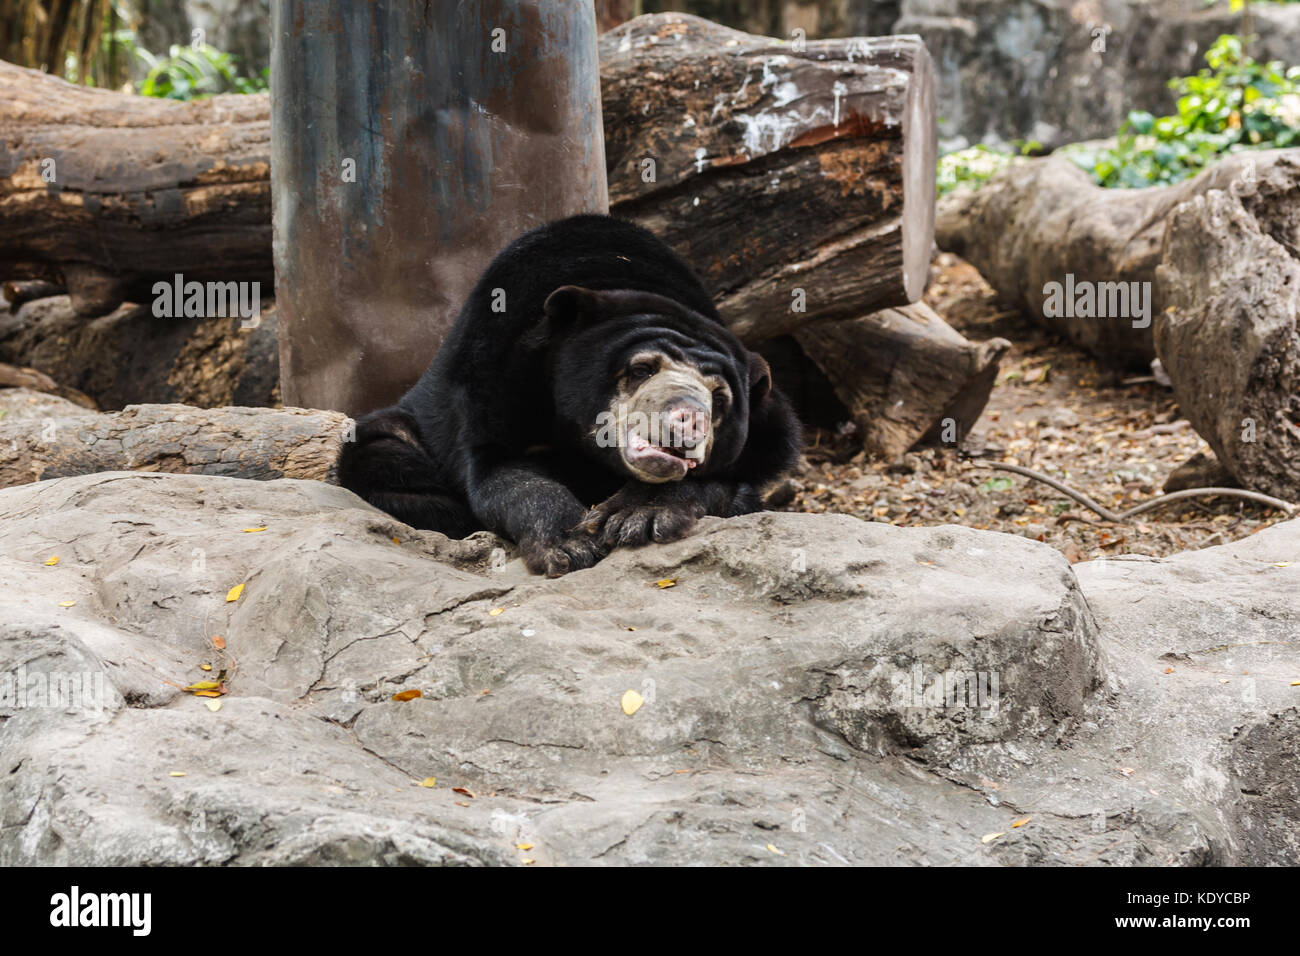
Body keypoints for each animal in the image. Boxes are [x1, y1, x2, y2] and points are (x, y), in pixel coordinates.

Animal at [337, 214, 802, 576]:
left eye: (719, 399)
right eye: (641, 369)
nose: (688, 418)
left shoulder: (768, 430)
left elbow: (739, 474)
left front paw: (639, 515)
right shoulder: (489, 375)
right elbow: (502, 472)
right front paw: (570, 543)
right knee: (380, 452)